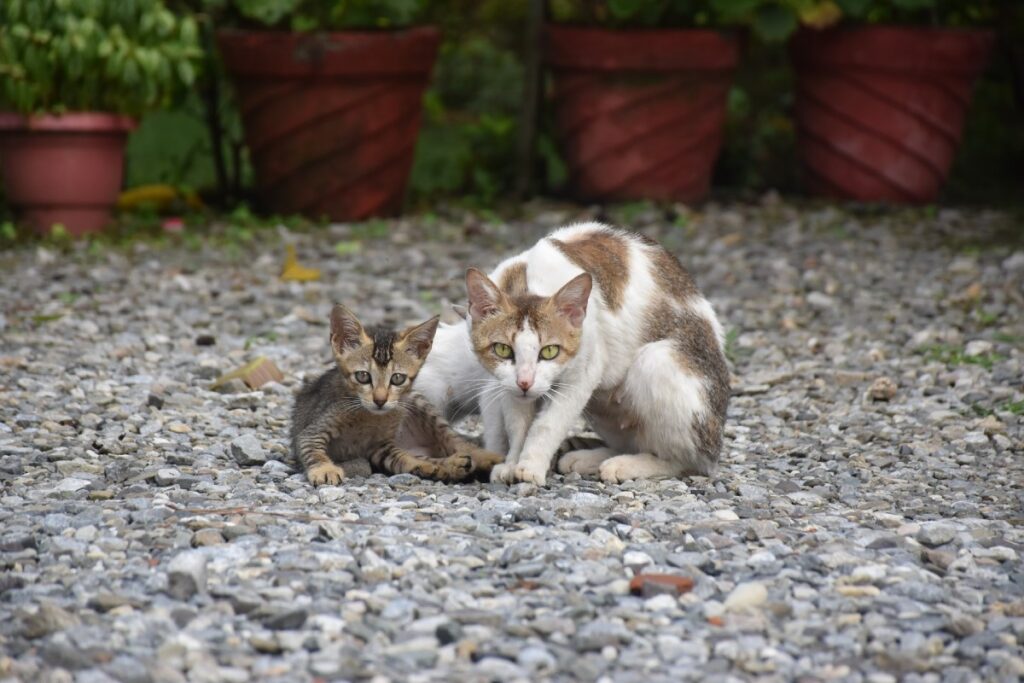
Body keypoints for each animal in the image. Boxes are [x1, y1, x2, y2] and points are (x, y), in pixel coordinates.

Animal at [290, 305, 501, 485]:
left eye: (397, 378)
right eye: (362, 376)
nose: (380, 400)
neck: (369, 417)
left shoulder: (380, 445)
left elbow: (403, 456)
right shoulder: (314, 429)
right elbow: (311, 449)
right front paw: (324, 469)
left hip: (418, 402)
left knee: (456, 442)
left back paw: (486, 457)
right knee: (422, 458)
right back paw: (448, 466)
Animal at [415, 223, 729, 485]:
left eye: (549, 351)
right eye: (503, 349)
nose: (525, 382)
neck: (525, 279)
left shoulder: (583, 374)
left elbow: (547, 425)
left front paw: (530, 467)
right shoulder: (504, 383)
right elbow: (518, 426)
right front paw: (512, 462)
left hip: (657, 361)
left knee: (689, 461)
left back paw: (626, 465)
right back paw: (592, 458)